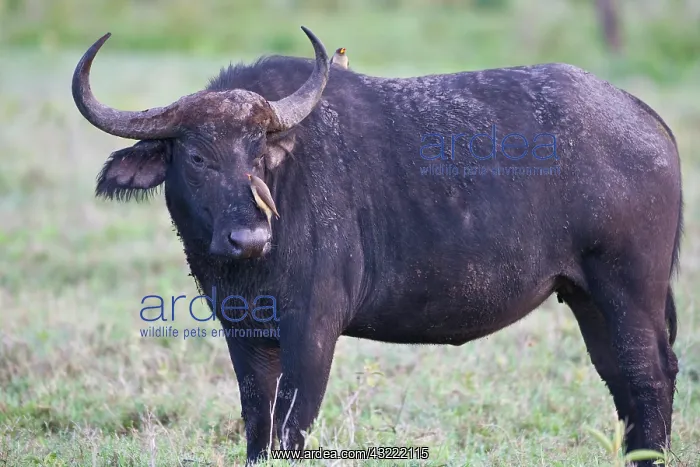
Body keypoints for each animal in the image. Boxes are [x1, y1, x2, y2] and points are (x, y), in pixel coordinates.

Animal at [72, 26, 682, 466]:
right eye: (197, 157)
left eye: (259, 154)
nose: (250, 237)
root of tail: (644, 117)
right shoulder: (244, 335)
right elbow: (257, 424)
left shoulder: (313, 331)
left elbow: (291, 428)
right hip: (587, 297)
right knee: (622, 379)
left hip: (629, 291)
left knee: (651, 376)